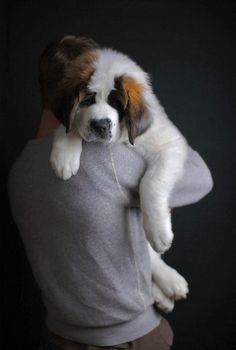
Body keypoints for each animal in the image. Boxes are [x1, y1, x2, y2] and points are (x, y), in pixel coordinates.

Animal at [39, 35, 189, 312]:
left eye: (117, 104)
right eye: (87, 100)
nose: (100, 125)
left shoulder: (169, 144)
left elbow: (150, 183)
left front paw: (158, 232)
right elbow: (70, 123)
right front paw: (65, 155)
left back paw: (170, 283)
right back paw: (165, 290)